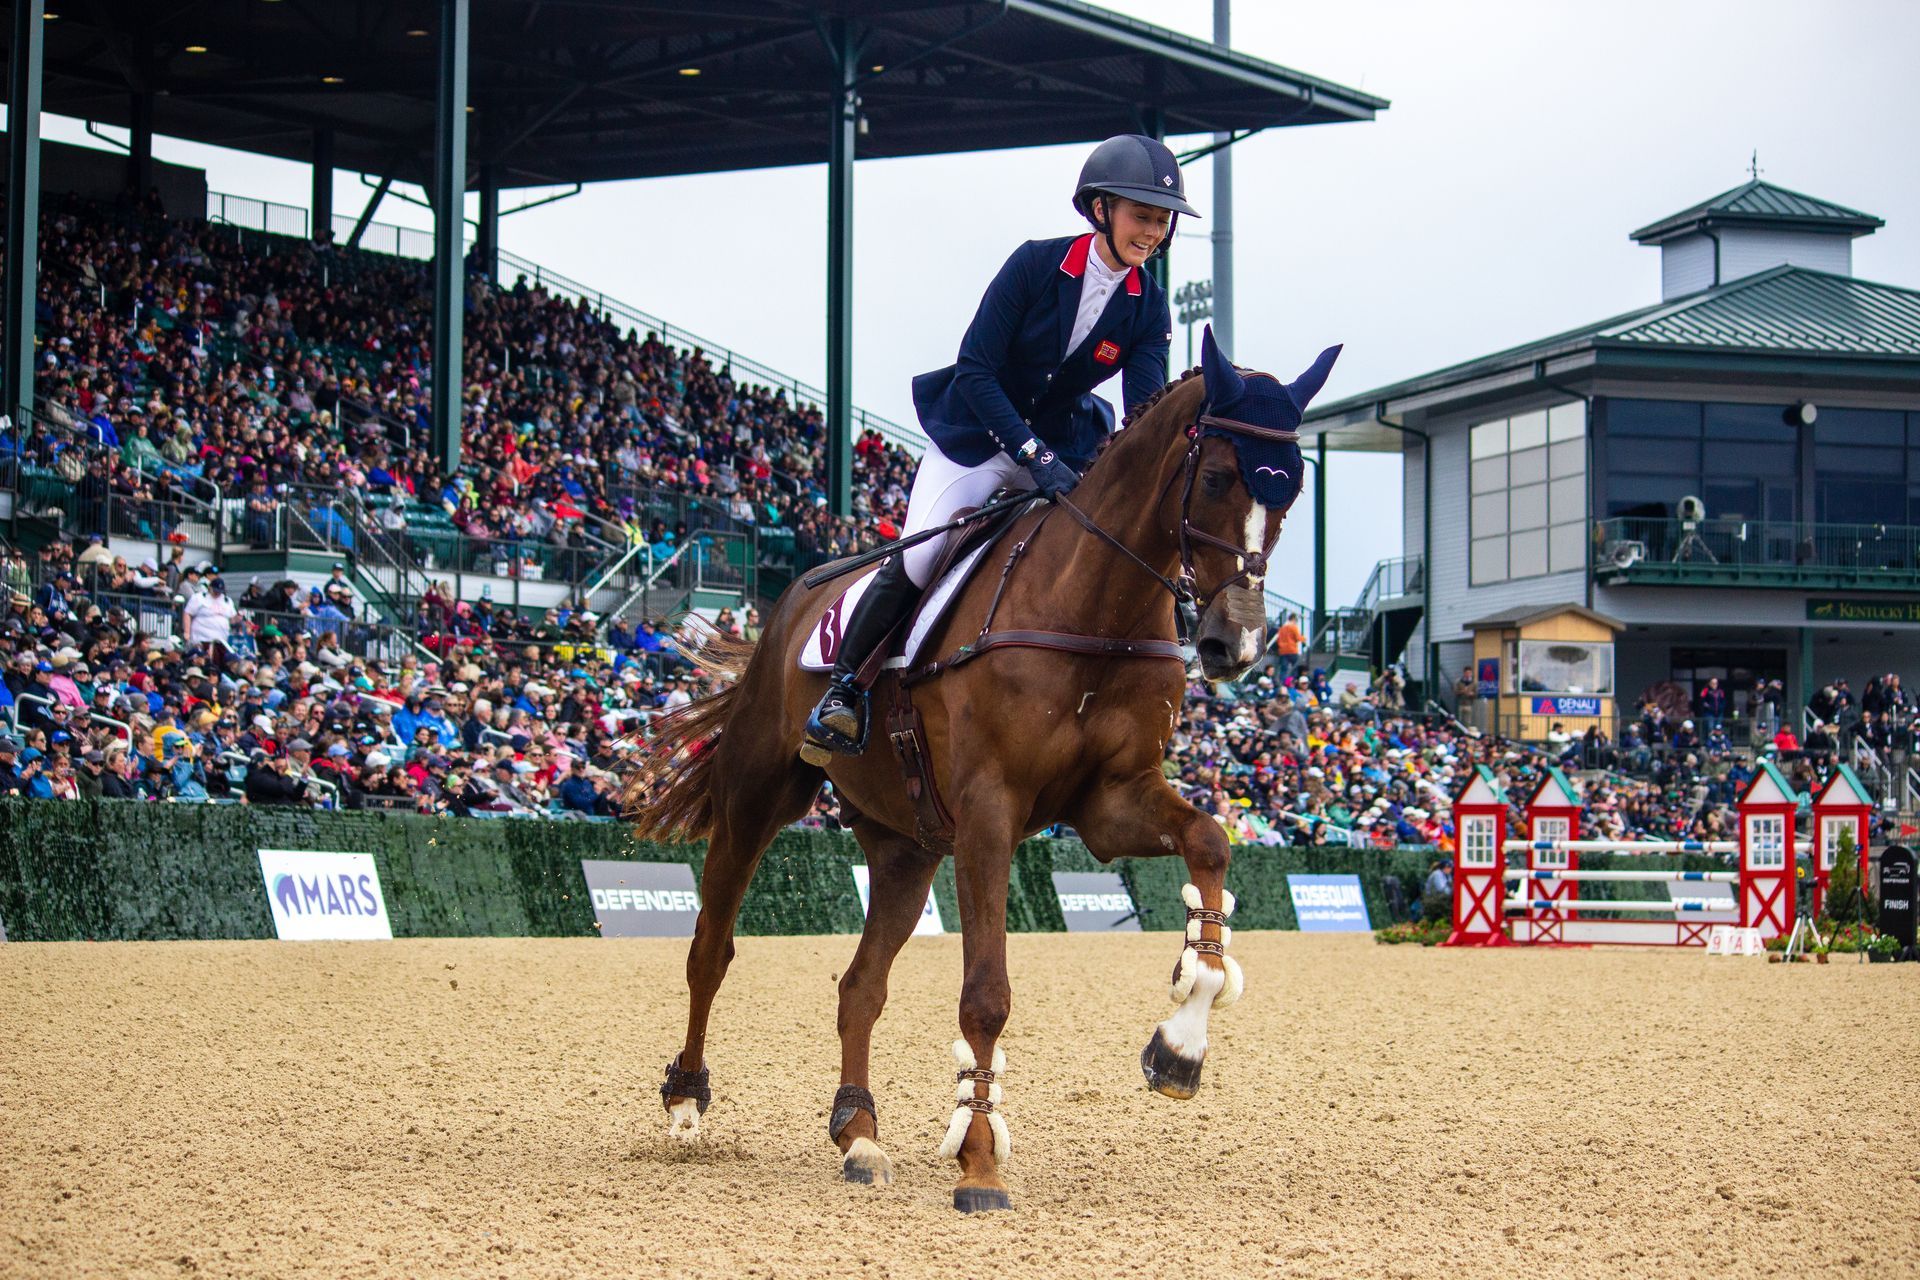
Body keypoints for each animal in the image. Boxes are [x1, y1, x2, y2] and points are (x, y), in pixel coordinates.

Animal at [625, 326, 1339, 1212]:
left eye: (1292, 494)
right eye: (1213, 477)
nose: (1231, 645)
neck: (1095, 606)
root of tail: (790, 600)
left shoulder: (1113, 804)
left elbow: (1209, 842)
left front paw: (1180, 1043)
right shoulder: (990, 813)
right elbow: (987, 995)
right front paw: (979, 1162)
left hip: (907, 845)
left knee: (860, 985)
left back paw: (859, 1135)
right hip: (759, 797)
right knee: (711, 949)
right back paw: (687, 1102)